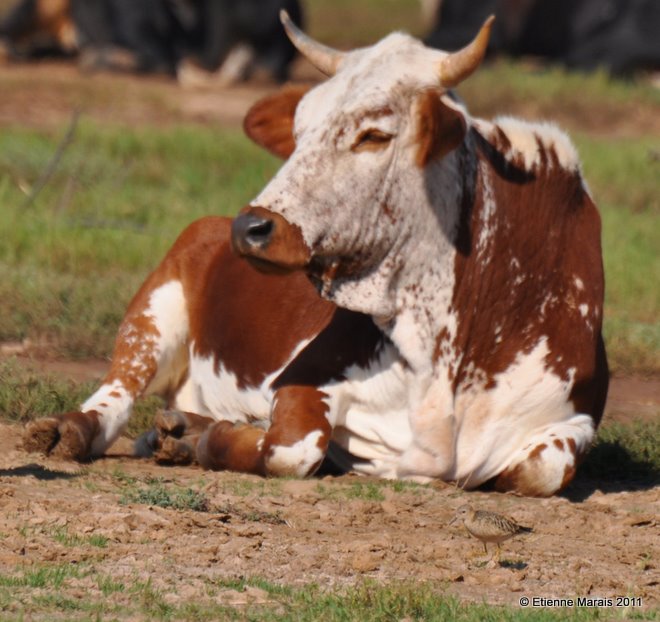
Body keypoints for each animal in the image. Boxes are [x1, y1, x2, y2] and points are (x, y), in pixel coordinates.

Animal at [23, 14, 608, 500]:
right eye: (300, 131)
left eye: (374, 134)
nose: (250, 228)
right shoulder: (300, 378)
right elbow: (292, 449)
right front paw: (216, 440)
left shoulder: (573, 418)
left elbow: (542, 470)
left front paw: (197, 436)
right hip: (154, 310)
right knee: (115, 395)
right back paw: (72, 430)